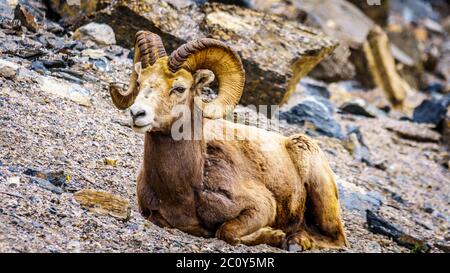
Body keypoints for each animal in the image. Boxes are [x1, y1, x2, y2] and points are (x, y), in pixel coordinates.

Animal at [110, 30, 348, 250]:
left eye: (179, 88)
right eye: (140, 82)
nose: (137, 113)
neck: (185, 189)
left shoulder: (261, 207)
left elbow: (226, 231)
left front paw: (275, 235)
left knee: (336, 239)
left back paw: (296, 241)